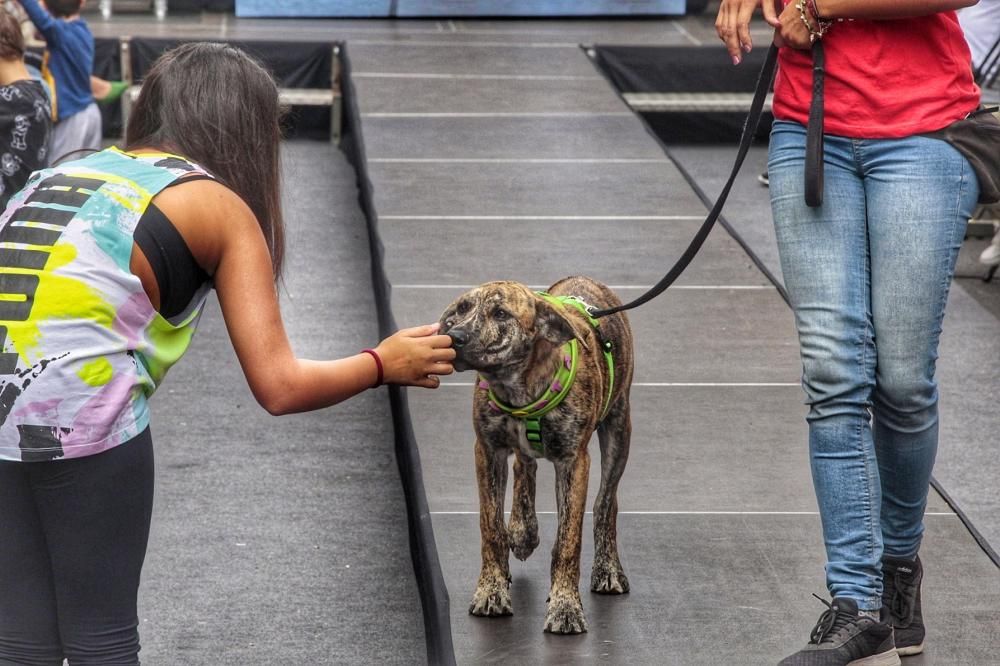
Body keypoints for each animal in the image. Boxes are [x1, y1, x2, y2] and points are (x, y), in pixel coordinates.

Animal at [440, 274, 632, 632]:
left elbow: (568, 540)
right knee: (524, 468)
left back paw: (608, 569)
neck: (517, 388)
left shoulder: (574, 461)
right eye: (461, 309)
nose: (453, 336)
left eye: (501, 313)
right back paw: (523, 530)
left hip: (619, 430)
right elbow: (491, 528)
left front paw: (565, 607)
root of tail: (582, 279)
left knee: (606, 502)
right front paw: (491, 591)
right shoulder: (487, 451)